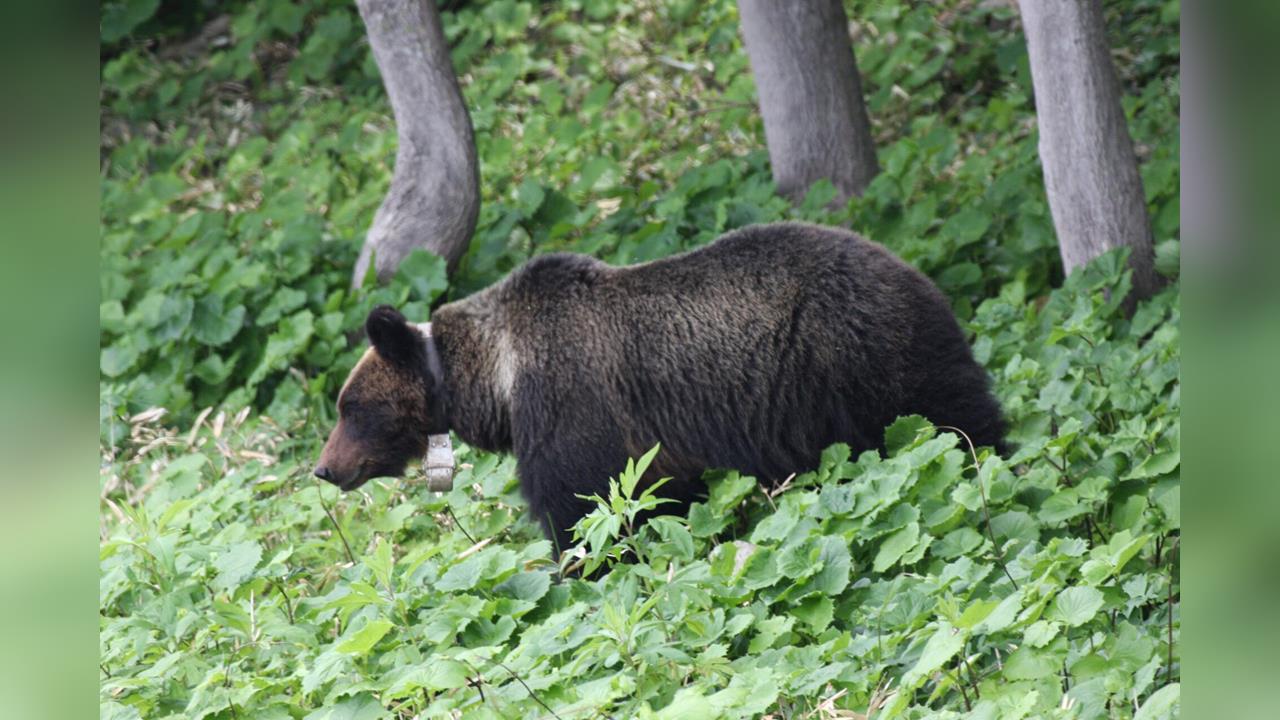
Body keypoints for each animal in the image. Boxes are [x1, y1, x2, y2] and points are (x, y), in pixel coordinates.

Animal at [314, 221, 1005, 553]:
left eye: (352, 409)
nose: (323, 468)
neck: (498, 383)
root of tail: (910, 269)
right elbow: (660, 501)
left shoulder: (572, 404)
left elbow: (583, 510)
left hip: (860, 359)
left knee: (951, 419)